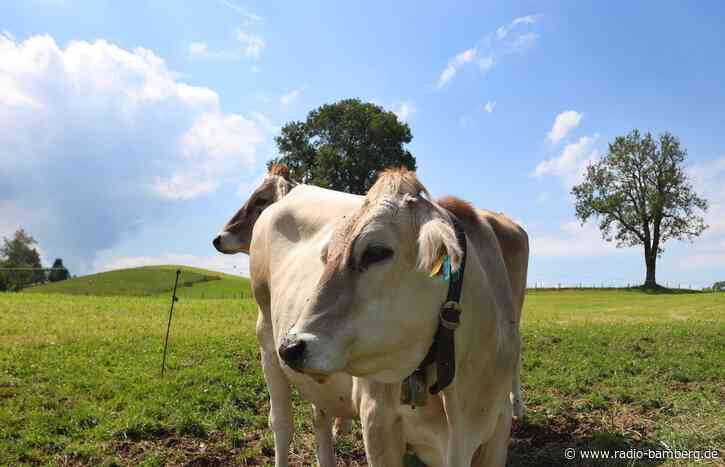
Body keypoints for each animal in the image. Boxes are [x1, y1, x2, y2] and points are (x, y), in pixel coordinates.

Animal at [214, 165, 528, 466]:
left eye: (376, 252)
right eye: (328, 255)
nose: (291, 346)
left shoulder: (497, 434)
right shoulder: (377, 421)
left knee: (320, 417)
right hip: (267, 342)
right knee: (281, 424)